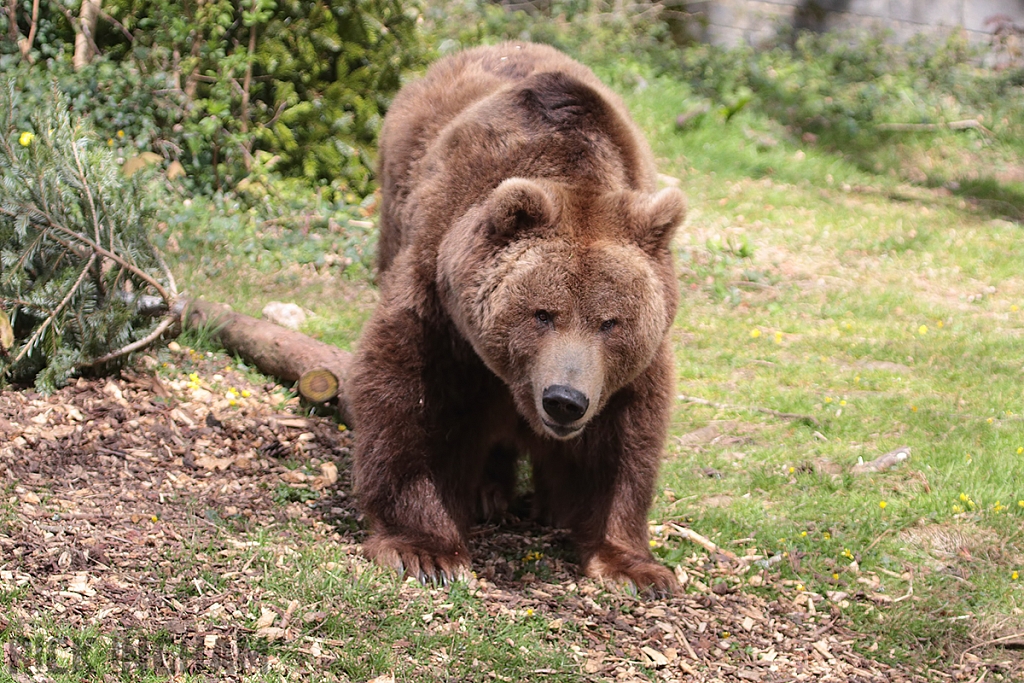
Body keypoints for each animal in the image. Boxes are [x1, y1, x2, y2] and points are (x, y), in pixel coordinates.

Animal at [348, 41, 684, 593]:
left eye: (610, 322)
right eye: (542, 313)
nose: (565, 400)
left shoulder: (630, 365)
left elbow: (623, 440)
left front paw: (634, 566)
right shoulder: (441, 304)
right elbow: (414, 402)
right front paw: (425, 550)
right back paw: (488, 491)